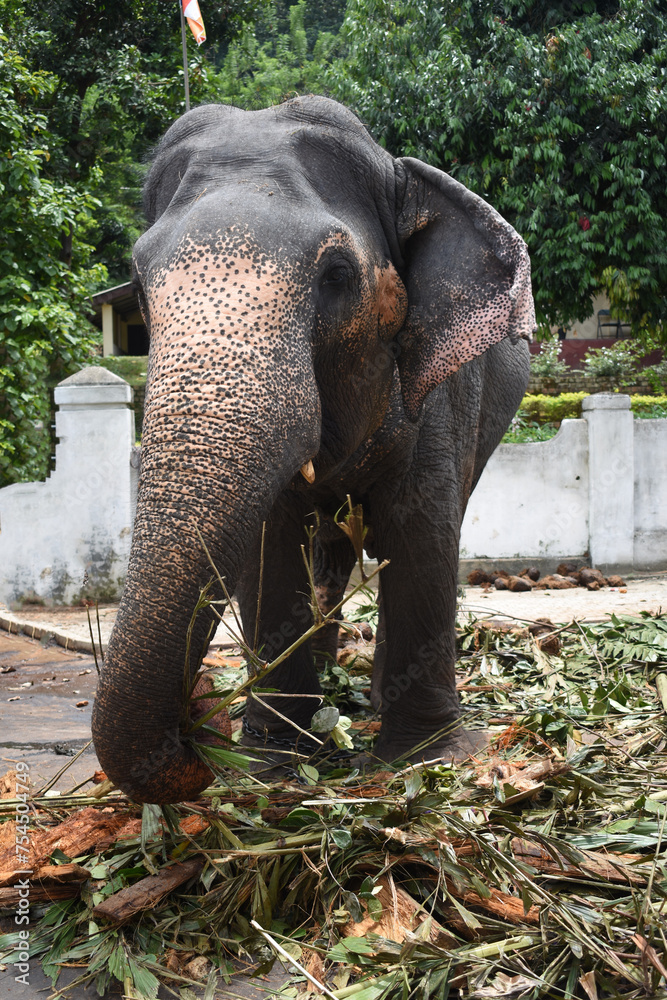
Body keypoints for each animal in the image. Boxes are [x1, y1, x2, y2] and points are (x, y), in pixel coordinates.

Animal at [91, 96, 535, 805]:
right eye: (136, 283)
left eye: (337, 275)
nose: (196, 736)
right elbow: (271, 548)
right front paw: (274, 761)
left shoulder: (440, 392)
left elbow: (422, 531)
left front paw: (424, 760)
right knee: (326, 550)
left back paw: (373, 700)